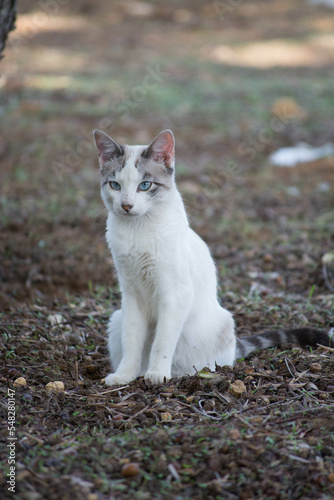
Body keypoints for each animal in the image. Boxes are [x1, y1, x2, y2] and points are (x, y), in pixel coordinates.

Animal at [93, 129, 332, 386]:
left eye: (145, 185)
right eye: (115, 185)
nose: (126, 206)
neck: (137, 231)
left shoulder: (175, 294)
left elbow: (162, 342)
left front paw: (157, 375)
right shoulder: (131, 293)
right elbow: (132, 341)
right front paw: (124, 376)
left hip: (220, 326)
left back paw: (182, 374)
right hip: (117, 317)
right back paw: (140, 373)